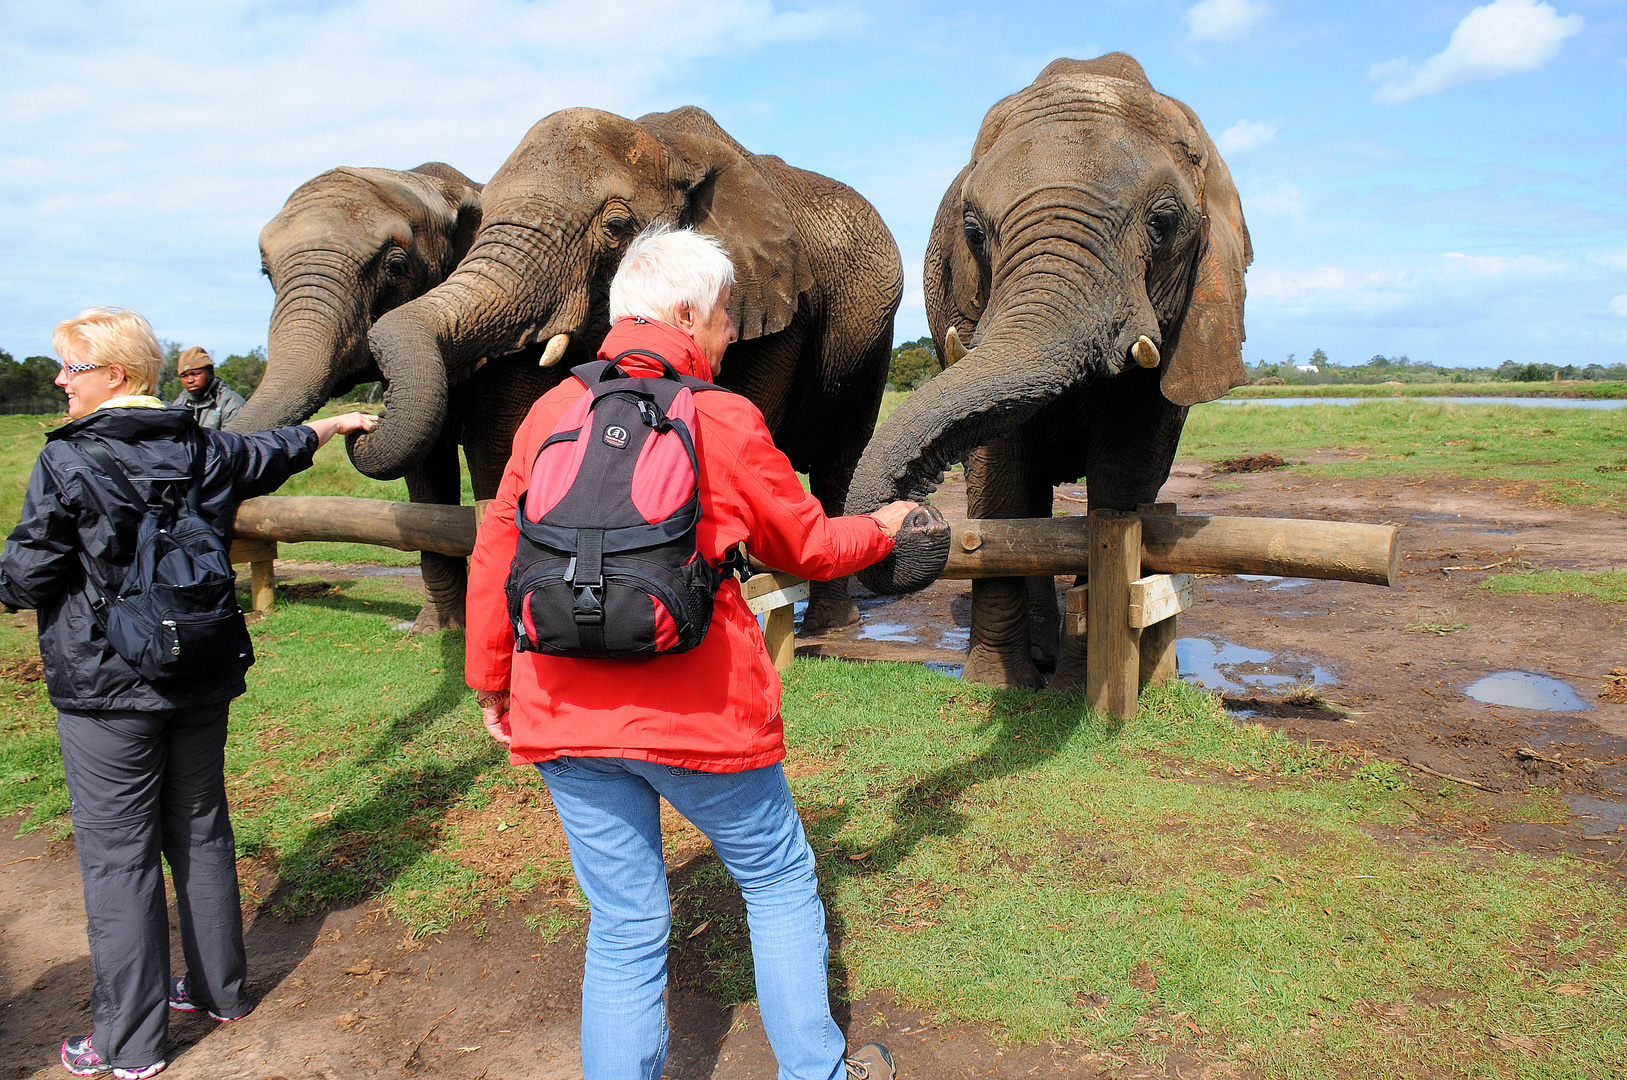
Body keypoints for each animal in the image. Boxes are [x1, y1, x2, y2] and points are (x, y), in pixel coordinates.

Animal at [351, 105, 904, 634]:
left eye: (615, 226)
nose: (362, 425)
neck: (672, 147)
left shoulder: (776, 305)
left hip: (872, 347)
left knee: (839, 467)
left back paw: (831, 623)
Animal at [846, 54, 1249, 686]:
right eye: (973, 232)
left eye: (1163, 222)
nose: (920, 517)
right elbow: (999, 472)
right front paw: (997, 683)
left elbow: (1123, 473)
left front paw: (1079, 685)